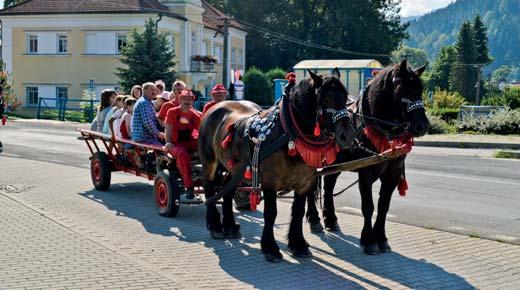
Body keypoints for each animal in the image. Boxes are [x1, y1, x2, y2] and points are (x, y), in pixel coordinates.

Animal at [199, 68, 358, 262]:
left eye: (345, 97)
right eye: (326, 99)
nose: (347, 136)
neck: (288, 132)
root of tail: (213, 107)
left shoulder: (304, 183)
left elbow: (298, 211)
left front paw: (298, 244)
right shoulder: (270, 182)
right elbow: (271, 212)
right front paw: (270, 248)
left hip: (235, 169)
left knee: (227, 190)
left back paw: (230, 226)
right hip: (210, 162)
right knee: (209, 188)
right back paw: (215, 225)